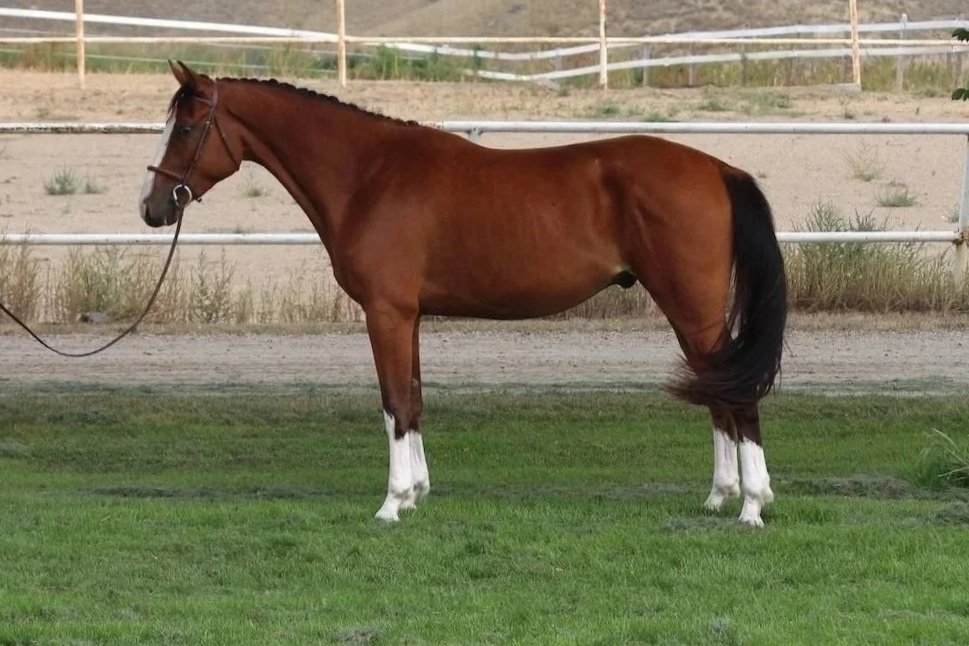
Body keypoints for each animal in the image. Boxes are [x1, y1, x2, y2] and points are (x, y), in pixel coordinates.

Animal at [140, 61, 787, 527]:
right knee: (718, 389)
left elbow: (394, 402)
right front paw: (416, 495)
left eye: (188, 128)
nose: (152, 208)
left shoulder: (386, 314)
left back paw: (752, 506)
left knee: (737, 393)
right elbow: (413, 400)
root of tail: (718, 169)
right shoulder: (410, 317)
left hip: (693, 309)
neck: (369, 175)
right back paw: (721, 497)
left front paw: (391, 503)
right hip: (688, 312)